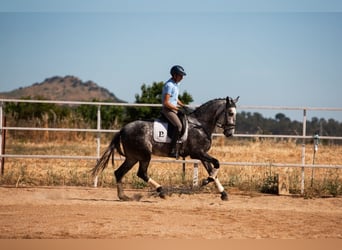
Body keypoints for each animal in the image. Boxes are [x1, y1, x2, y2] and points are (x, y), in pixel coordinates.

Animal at [92, 96, 239, 201]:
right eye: (230, 113)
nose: (230, 133)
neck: (200, 125)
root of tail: (123, 129)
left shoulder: (202, 154)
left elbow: (213, 170)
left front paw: (223, 193)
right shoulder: (197, 153)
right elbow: (216, 164)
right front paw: (205, 181)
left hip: (133, 157)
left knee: (119, 173)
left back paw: (124, 197)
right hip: (144, 156)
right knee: (141, 173)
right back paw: (161, 191)